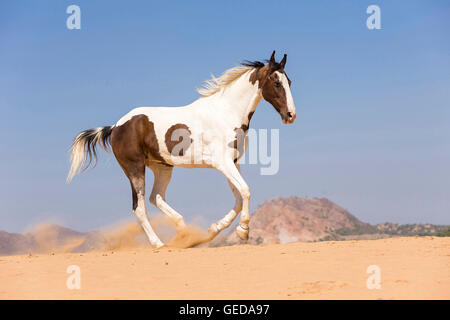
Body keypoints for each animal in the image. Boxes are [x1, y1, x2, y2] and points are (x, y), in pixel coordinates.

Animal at [67, 51, 298, 249]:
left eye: (289, 82)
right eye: (276, 82)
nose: (291, 115)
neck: (226, 112)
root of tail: (115, 127)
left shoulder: (232, 162)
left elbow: (240, 197)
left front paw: (214, 229)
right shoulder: (222, 163)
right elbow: (245, 191)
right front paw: (243, 231)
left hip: (162, 167)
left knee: (156, 197)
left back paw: (184, 232)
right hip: (135, 168)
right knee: (139, 207)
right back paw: (159, 243)